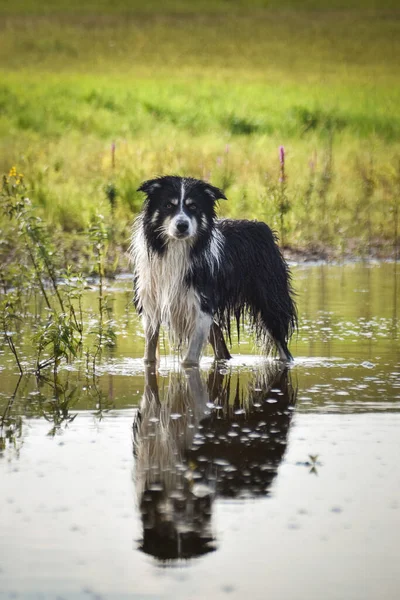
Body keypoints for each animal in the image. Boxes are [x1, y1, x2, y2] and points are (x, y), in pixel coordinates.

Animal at [131, 176, 296, 366]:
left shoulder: (201, 306)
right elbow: (149, 354)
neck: (176, 249)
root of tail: (263, 227)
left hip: (270, 302)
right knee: (220, 344)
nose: (182, 225)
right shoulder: (151, 303)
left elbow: (189, 360)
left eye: (193, 207)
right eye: (168, 205)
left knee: (282, 344)